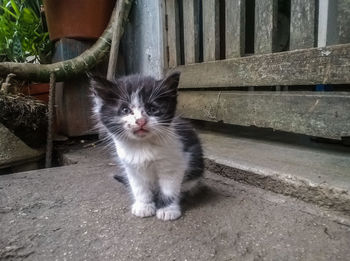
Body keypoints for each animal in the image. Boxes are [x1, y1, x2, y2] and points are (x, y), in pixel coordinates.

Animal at [90, 72, 204, 220]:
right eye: (125, 110)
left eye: (153, 109)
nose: (140, 121)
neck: (142, 145)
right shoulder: (131, 166)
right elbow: (139, 188)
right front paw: (143, 206)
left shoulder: (173, 163)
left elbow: (169, 188)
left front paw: (167, 209)